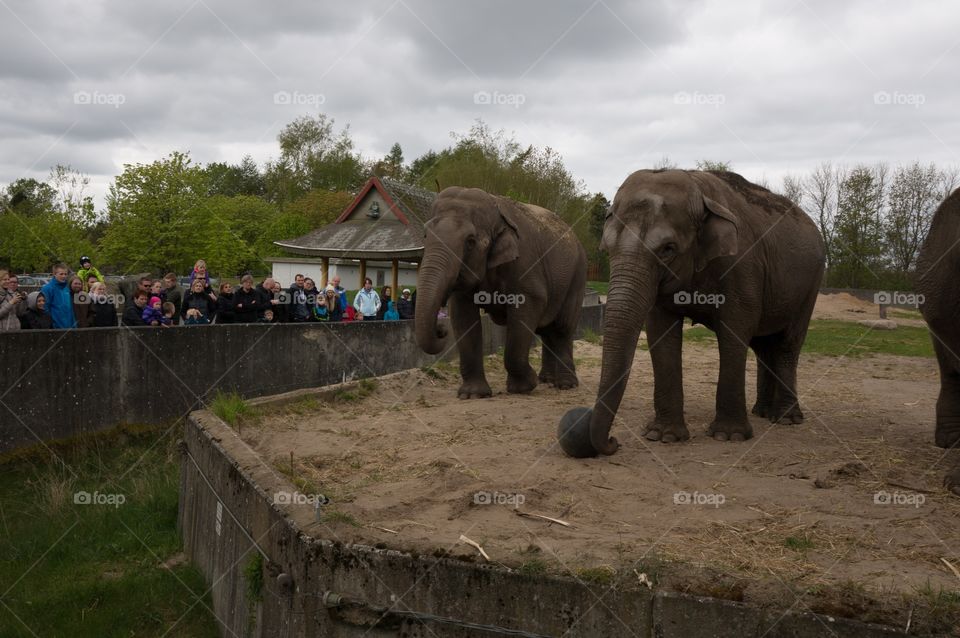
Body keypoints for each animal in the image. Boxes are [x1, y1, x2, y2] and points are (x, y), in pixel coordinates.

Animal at [415, 186, 587, 398]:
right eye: (425, 235)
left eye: (470, 241)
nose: (440, 329)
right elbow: (463, 316)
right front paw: (473, 395)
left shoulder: (525, 265)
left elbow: (526, 310)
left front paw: (523, 387)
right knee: (547, 330)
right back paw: (546, 380)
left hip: (577, 276)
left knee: (563, 328)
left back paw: (565, 385)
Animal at [560, 169, 825, 457]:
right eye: (607, 250)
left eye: (668, 248)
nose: (613, 441)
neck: (698, 190)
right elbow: (661, 334)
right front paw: (662, 436)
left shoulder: (742, 267)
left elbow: (734, 332)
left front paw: (728, 436)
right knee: (764, 347)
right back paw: (762, 412)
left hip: (810, 285)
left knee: (788, 345)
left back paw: (786, 418)